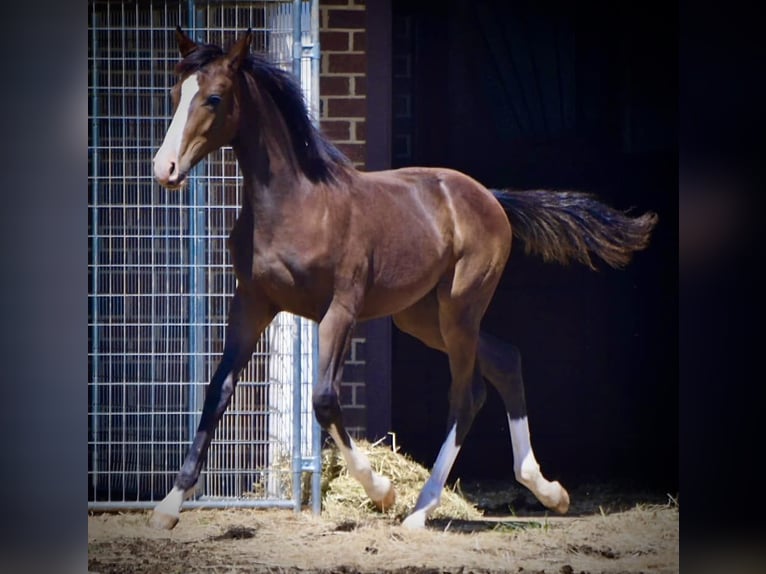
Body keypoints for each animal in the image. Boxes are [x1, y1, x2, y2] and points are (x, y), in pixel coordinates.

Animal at [148, 27, 660, 532]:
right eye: (175, 93)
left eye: (214, 98)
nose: (164, 169)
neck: (297, 205)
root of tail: (491, 197)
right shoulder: (252, 302)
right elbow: (217, 390)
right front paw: (168, 507)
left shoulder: (341, 309)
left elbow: (324, 398)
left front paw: (382, 490)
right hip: (423, 317)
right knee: (505, 361)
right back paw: (548, 491)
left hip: (460, 309)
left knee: (467, 395)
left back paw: (420, 510)